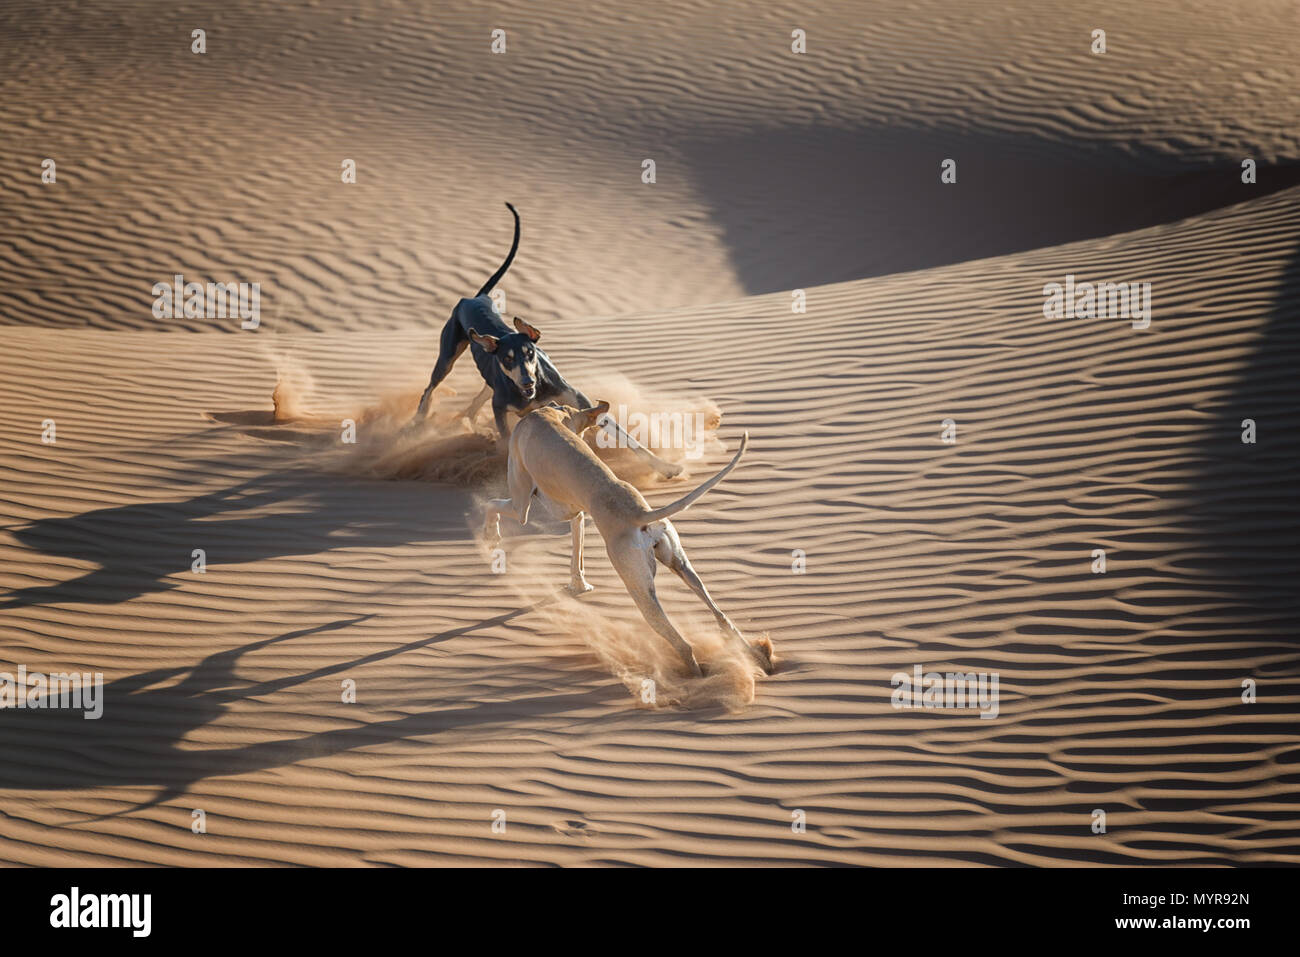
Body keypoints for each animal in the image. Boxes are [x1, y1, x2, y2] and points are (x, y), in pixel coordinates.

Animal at [413, 202, 681, 478]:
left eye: (530, 353)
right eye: (508, 359)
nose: (527, 381)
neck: (535, 393)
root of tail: (477, 298)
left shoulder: (582, 404)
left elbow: (628, 438)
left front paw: (665, 467)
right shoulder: (502, 411)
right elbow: (507, 443)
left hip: (487, 376)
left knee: (479, 395)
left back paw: (466, 418)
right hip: (448, 355)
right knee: (430, 388)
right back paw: (420, 421)